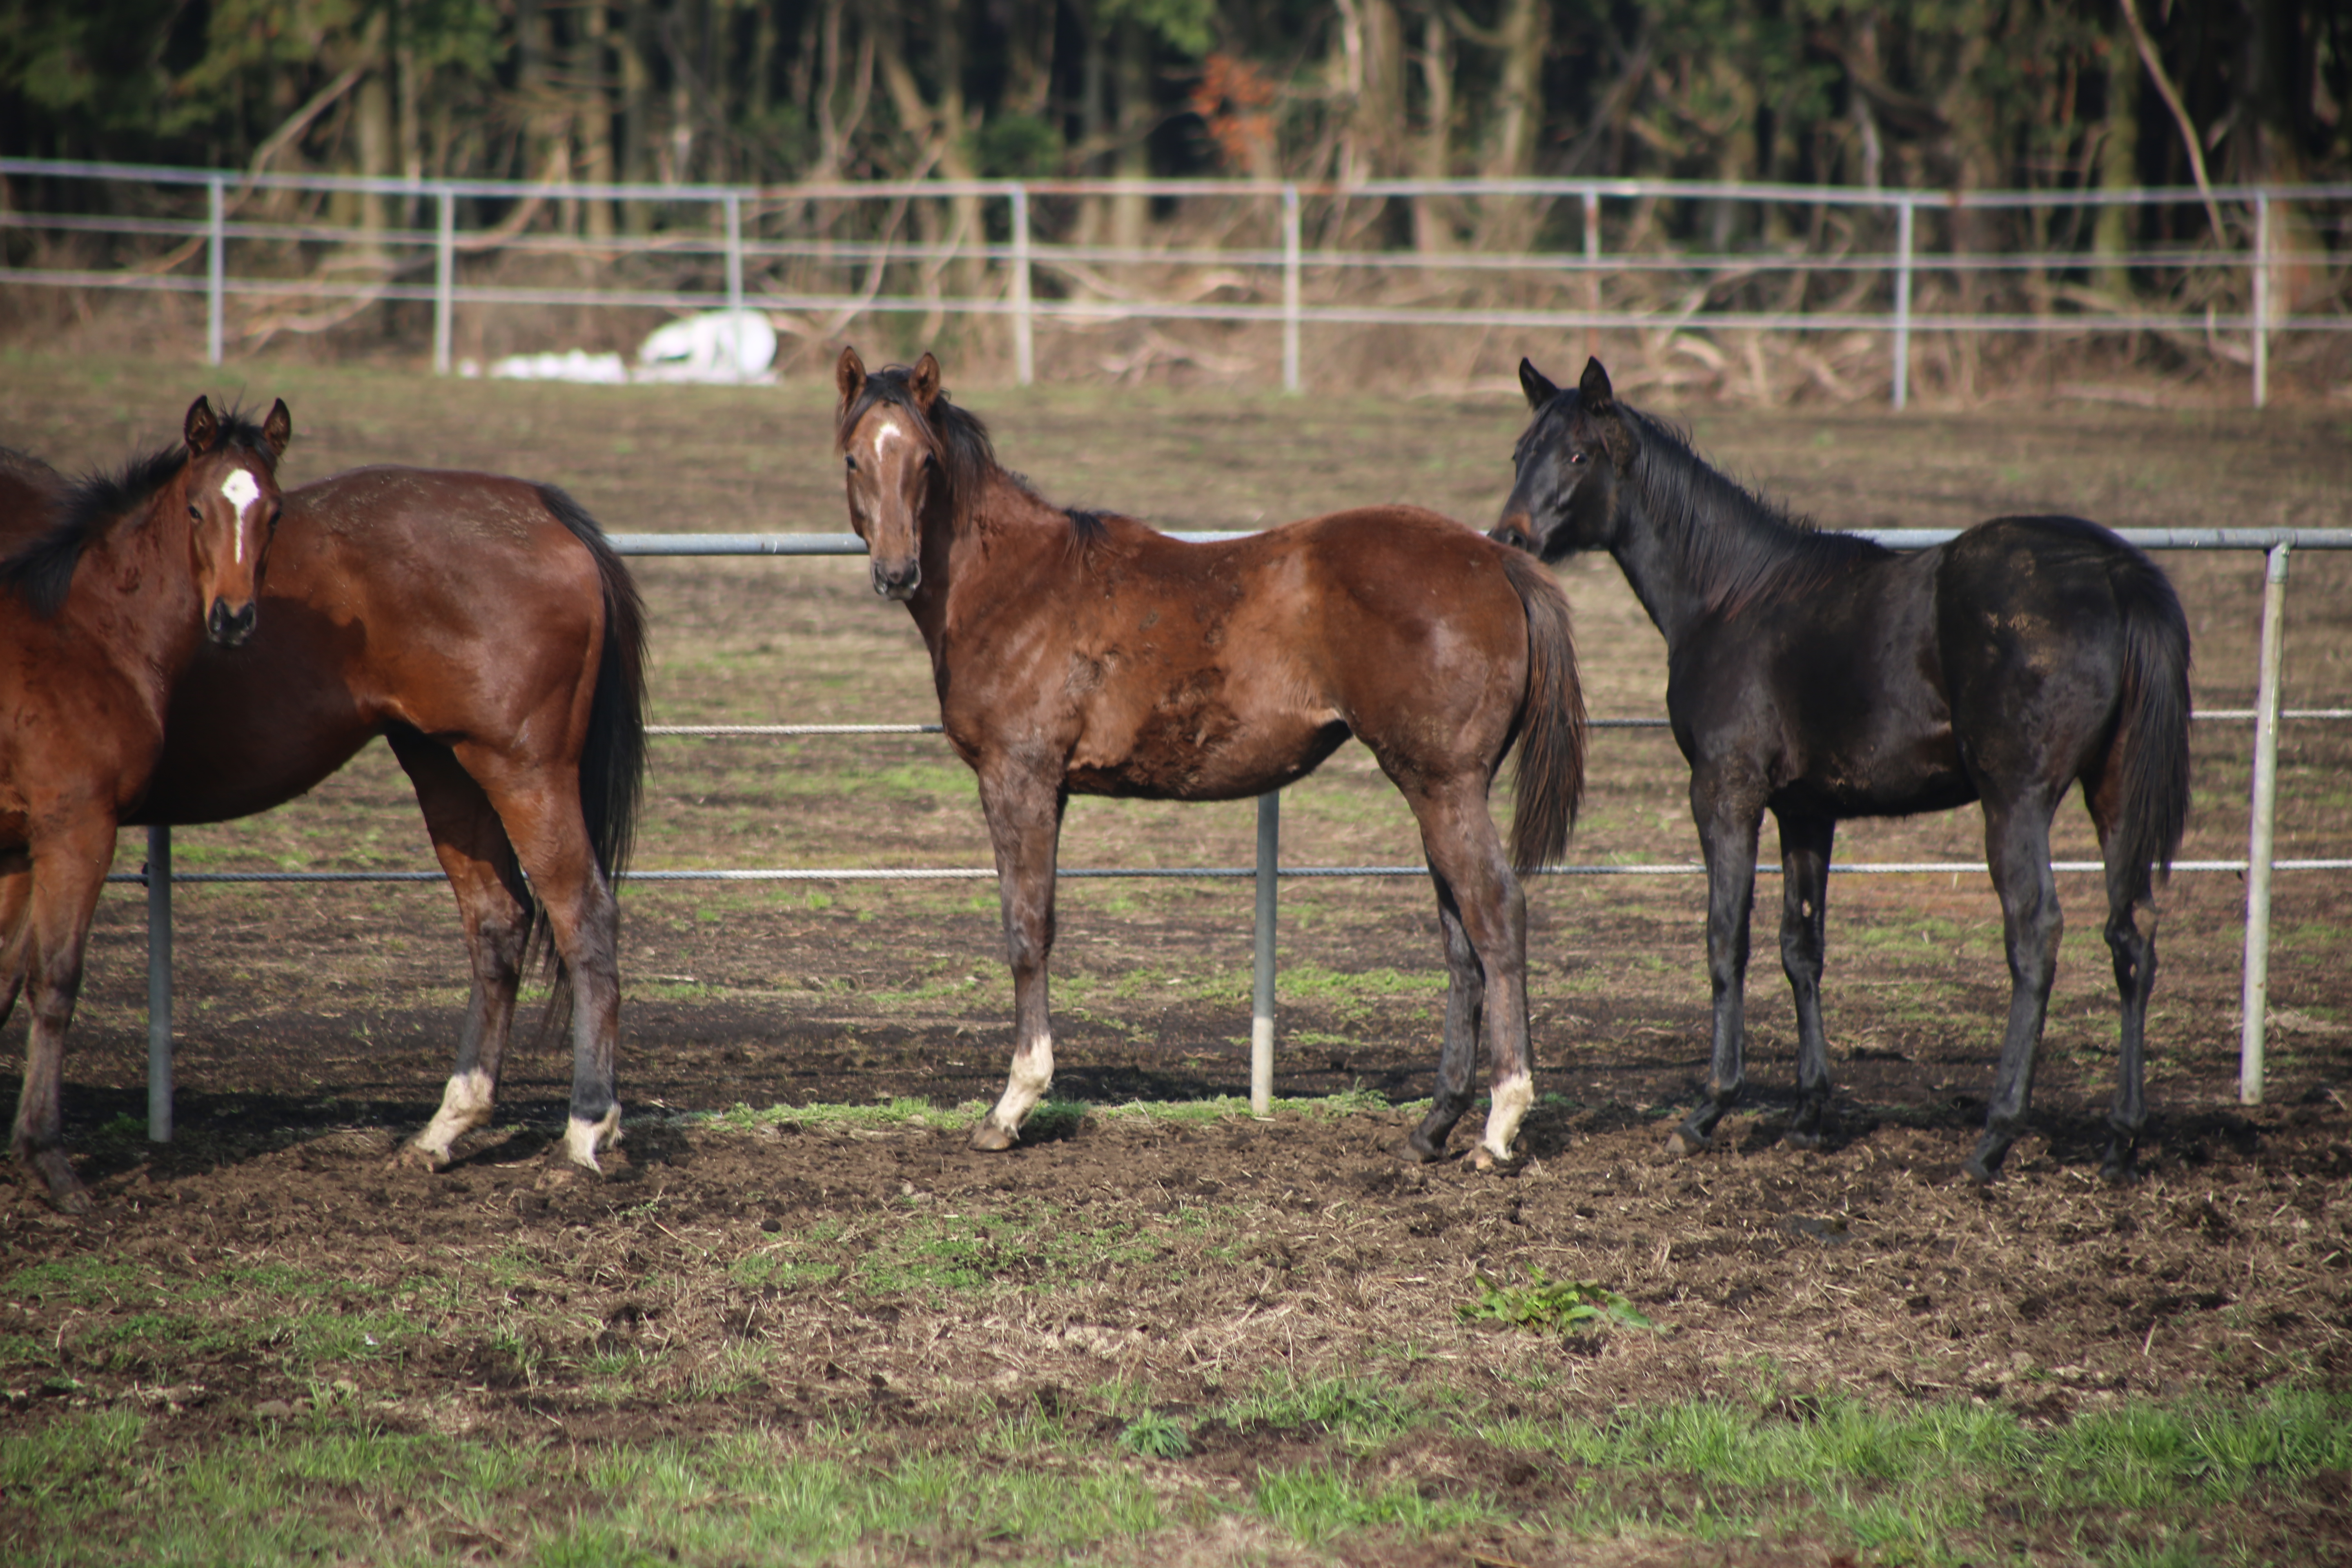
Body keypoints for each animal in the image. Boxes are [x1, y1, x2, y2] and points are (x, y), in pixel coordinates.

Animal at [0, 399, 292, 1213]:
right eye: (196, 508)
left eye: (276, 513)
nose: (233, 619)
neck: (87, 635)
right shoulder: (77, 831)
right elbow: (55, 982)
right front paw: (51, 1163)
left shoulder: (22, 846)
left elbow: (5, 977)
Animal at [0, 472, 654, 1185]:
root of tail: (537, 506)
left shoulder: (74, 824)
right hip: (444, 764)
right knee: (498, 921)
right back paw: (446, 1126)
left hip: (523, 769)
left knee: (582, 914)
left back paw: (588, 1126)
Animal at [837, 352, 1590, 1166]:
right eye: (854, 457)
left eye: (925, 461)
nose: (897, 573)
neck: (1017, 585)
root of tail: (1497, 559)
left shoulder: (1020, 779)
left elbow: (1027, 928)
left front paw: (1012, 1106)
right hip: (1436, 791)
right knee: (1461, 941)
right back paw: (1432, 1127)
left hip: (1446, 787)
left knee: (1496, 914)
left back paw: (1500, 1123)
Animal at [1496, 359, 2192, 1189]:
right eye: (1519, 453)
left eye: (1577, 455)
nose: (1509, 538)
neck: (1734, 596)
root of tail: (2116, 575)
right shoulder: (1807, 812)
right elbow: (1803, 948)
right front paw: (1808, 1115)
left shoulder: (1726, 794)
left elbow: (1727, 939)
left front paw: (1708, 1111)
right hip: (2114, 796)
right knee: (2132, 936)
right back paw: (2122, 1140)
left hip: (2015, 801)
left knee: (2036, 934)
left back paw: (1993, 1139)